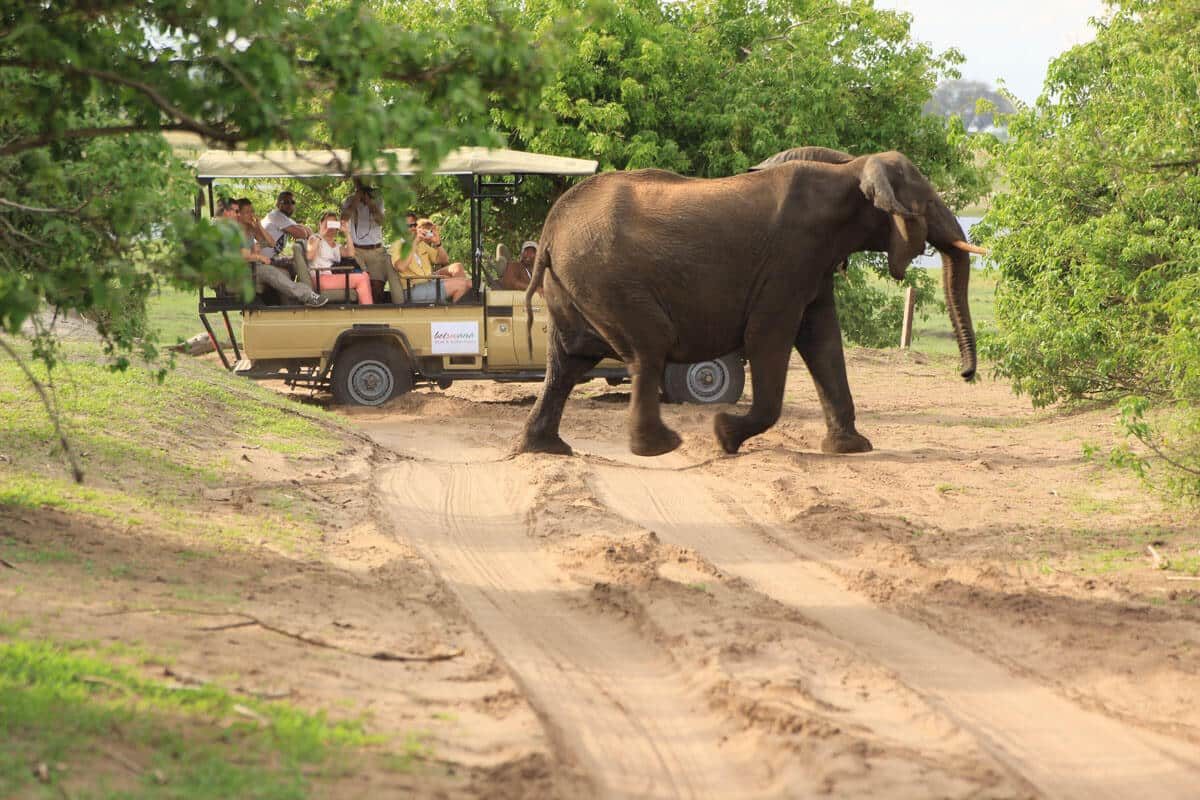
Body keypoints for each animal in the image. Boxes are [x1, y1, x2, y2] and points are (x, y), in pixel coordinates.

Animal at [516, 146, 984, 453]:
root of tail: (549, 233)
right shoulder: (790, 259)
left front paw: (852, 448)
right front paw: (725, 435)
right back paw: (662, 446)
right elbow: (770, 336)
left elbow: (823, 339)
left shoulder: (811, 264)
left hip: (575, 285)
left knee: (567, 361)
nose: (965, 375)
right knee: (648, 349)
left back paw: (546, 449)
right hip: (608, 279)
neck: (850, 169)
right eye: (926, 203)